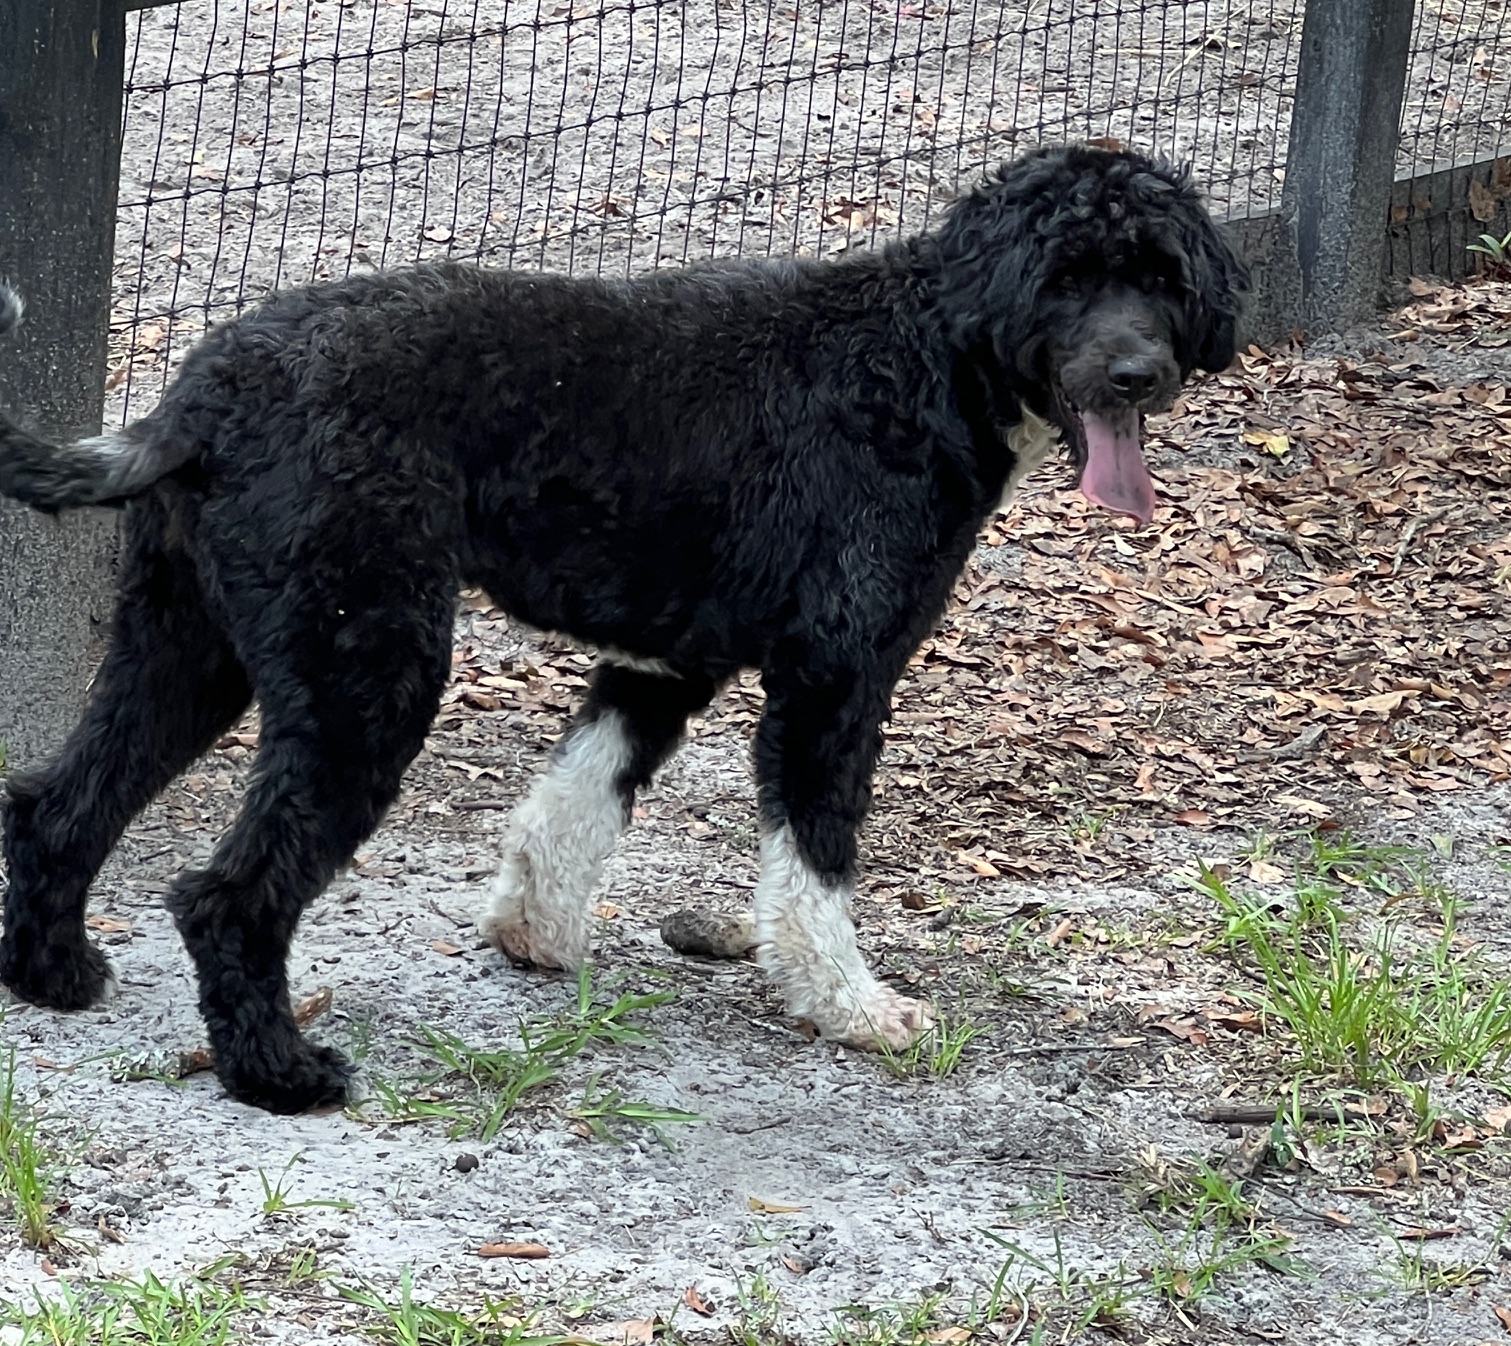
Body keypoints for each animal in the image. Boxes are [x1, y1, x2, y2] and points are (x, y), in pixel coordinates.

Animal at [0, 147, 1245, 1117]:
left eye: (1159, 276)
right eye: (1066, 276)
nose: (1137, 371)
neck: (921, 357)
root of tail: (198, 395)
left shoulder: (662, 665)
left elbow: (575, 797)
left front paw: (531, 930)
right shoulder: (833, 679)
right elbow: (813, 860)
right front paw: (848, 1004)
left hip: (188, 652)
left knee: (56, 805)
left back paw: (54, 973)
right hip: (364, 676)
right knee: (227, 894)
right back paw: (278, 1073)